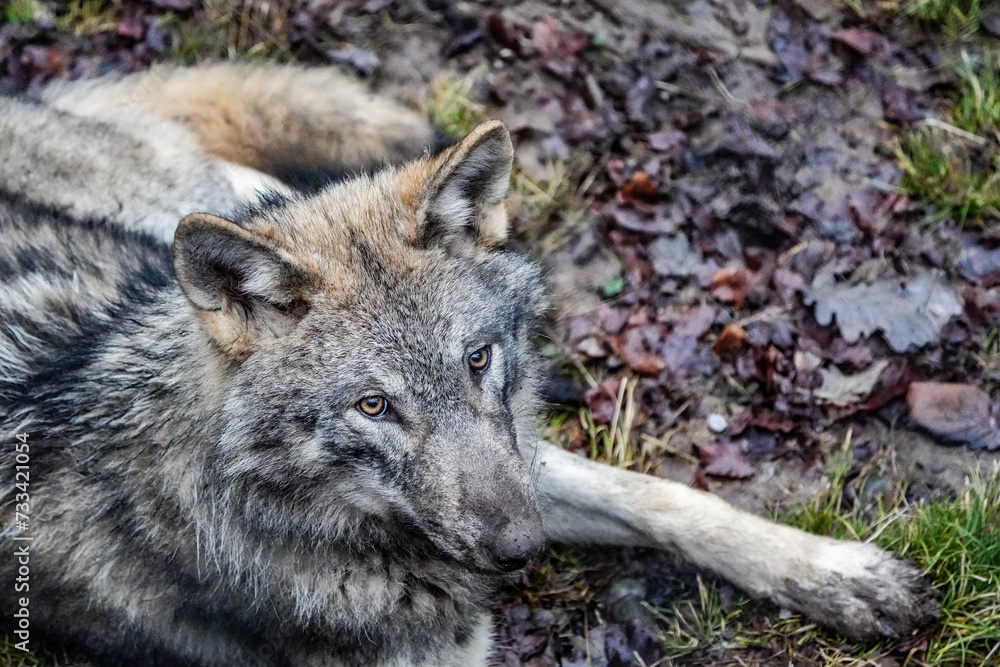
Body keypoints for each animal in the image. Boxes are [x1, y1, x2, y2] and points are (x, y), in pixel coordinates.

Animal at [0, 64, 937, 666]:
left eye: (478, 358)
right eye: (373, 406)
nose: (523, 549)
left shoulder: (522, 469)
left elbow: (668, 498)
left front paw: (840, 576)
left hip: (194, 204)